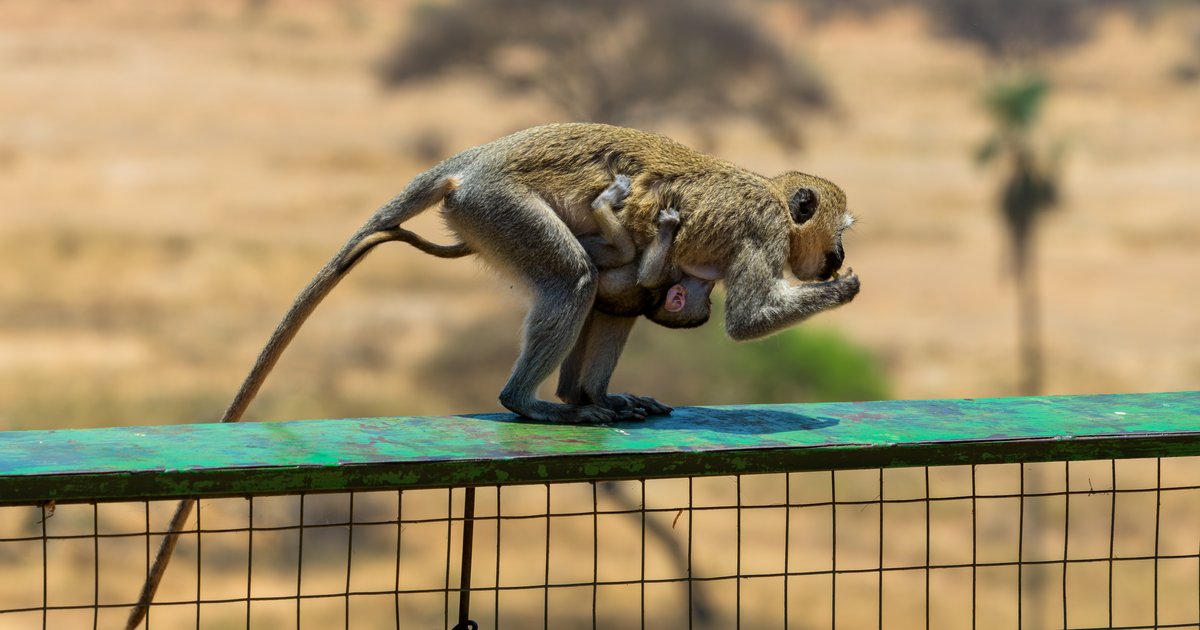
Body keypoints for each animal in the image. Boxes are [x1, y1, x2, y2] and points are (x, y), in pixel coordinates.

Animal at [125, 123, 859, 628]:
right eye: (840, 233)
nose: (836, 258)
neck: (769, 196)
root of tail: (480, 158)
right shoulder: (760, 233)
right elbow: (746, 320)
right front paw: (845, 290)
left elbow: (641, 298)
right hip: (498, 208)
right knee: (575, 279)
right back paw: (531, 400)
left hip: (485, 218)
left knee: (607, 297)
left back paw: (584, 395)